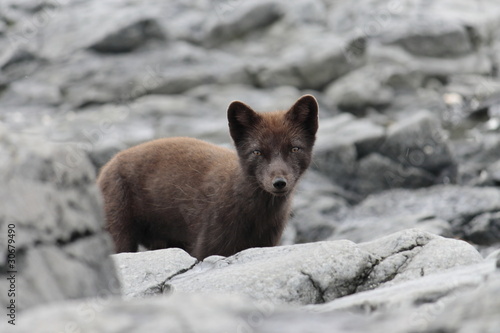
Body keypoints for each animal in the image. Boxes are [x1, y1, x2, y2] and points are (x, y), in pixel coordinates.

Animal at [96, 94, 316, 260]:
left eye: (294, 148)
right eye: (257, 152)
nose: (279, 182)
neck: (256, 219)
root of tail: (105, 167)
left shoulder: (267, 242)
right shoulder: (208, 244)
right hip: (118, 227)